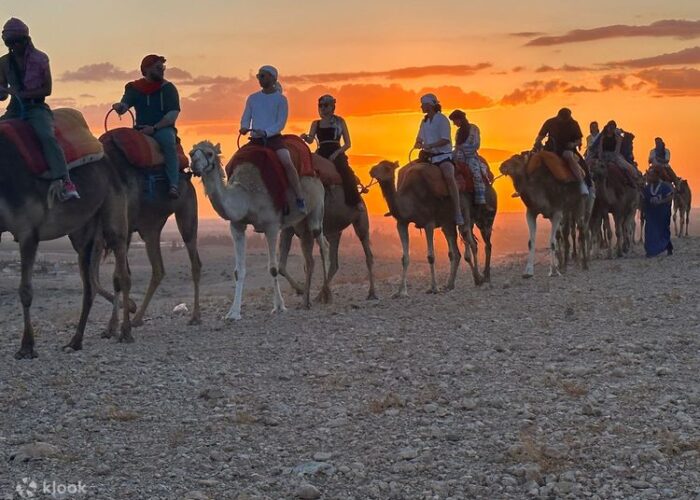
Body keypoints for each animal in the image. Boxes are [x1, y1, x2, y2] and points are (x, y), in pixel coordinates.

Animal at [0, 133, 131, 360]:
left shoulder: (27, 231)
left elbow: (25, 291)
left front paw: (27, 347)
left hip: (114, 209)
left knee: (121, 271)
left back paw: (125, 333)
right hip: (84, 234)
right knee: (89, 286)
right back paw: (75, 341)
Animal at [91, 140, 201, 328]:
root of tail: (187, 177)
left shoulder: (123, 230)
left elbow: (117, 276)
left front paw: (124, 313)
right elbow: (105, 278)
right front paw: (115, 322)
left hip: (187, 210)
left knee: (194, 260)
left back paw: (195, 316)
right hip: (151, 228)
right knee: (158, 269)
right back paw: (137, 318)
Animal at [189, 139, 330, 318]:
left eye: (210, 153)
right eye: (191, 152)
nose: (194, 163)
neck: (246, 197)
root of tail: (316, 175)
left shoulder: (271, 226)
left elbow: (273, 268)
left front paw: (279, 306)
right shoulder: (237, 225)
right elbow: (238, 271)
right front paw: (233, 312)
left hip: (316, 209)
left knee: (323, 244)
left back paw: (326, 294)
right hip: (299, 223)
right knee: (310, 254)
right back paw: (306, 300)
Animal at [278, 152, 378, 298]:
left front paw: (303, 290)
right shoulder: (289, 229)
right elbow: (281, 266)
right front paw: (300, 289)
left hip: (361, 220)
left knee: (367, 253)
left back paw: (372, 293)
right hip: (334, 231)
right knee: (334, 262)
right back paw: (321, 294)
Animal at [370, 159, 468, 296]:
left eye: (387, 168)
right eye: (378, 164)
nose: (372, 171)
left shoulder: (429, 223)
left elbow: (431, 257)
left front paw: (433, 288)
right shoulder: (401, 223)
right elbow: (404, 258)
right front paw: (400, 292)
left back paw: (479, 280)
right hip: (447, 223)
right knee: (455, 253)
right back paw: (450, 285)